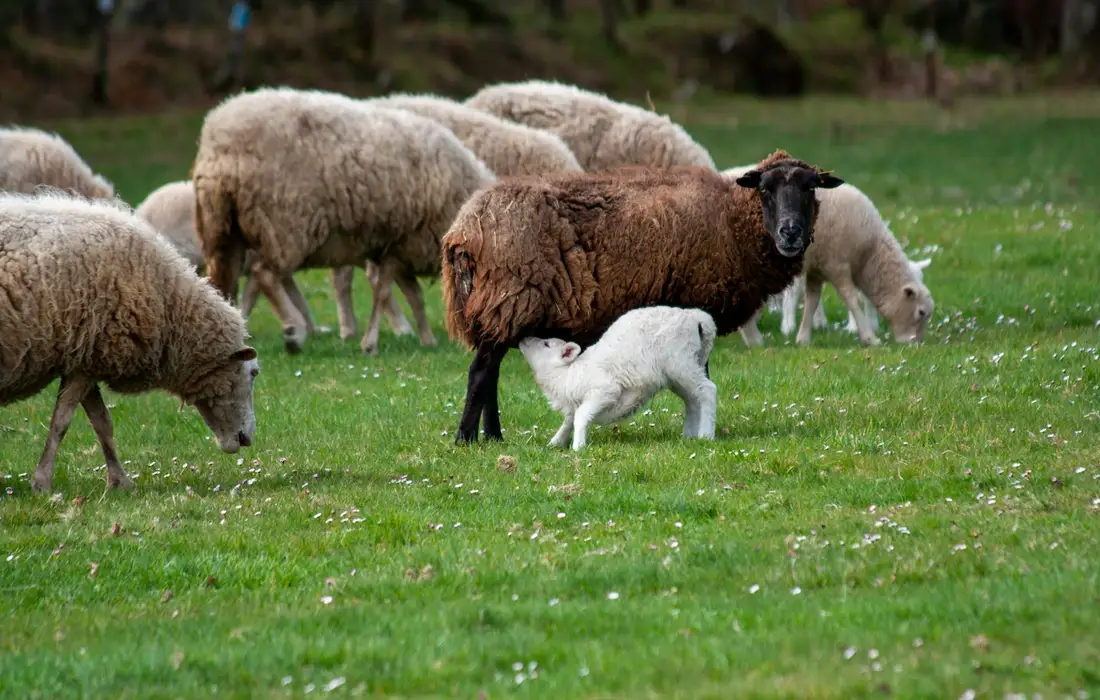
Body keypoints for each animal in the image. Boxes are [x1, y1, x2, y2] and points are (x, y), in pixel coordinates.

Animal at [0, 191, 260, 493]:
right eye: (253, 373)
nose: (247, 438)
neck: (169, 305)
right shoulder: (87, 360)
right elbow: (61, 424)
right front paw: (42, 482)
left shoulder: (85, 359)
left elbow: (102, 423)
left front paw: (119, 481)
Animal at [192, 86, 496, 355]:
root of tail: (218, 141)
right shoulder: (405, 241)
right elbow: (386, 291)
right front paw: (373, 342)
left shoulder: (398, 246)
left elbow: (411, 296)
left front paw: (425, 338)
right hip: (285, 223)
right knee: (264, 274)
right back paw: (294, 331)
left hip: (222, 228)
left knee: (225, 282)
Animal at [519, 305, 718, 451]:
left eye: (546, 344)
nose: (523, 338)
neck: (566, 375)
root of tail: (696, 317)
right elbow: (570, 419)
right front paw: (555, 442)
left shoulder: (605, 390)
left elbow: (580, 415)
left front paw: (578, 447)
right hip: (681, 370)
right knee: (692, 400)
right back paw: (689, 435)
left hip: (680, 361)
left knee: (707, 390)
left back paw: (706, 435)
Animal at [724, 164, 934, 346]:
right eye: (921, 313)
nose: (916, 344)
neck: (868, 251)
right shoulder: (837, 264)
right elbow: (852, 299)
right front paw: (869, 337)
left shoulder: (817, 269)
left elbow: (812, 301)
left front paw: (803, 338)